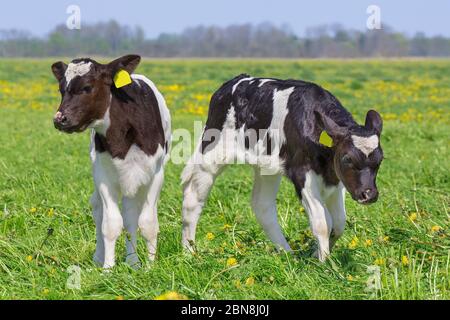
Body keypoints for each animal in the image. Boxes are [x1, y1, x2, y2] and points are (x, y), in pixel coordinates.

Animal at [51, 55, 171, 268]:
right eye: (61, 89)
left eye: (87, 87)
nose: (60, 119)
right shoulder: (103, 176)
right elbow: (111, 223)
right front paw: (108, 268)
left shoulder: (156, 174)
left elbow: (147, 222)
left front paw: (150, 267)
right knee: (101, 211)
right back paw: (102, 258)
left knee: (131, 216)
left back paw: (133, 262)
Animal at [183, 74, 384, 262]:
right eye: (347, 158)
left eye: (380, 159)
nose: (369, 195)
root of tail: (235, 81)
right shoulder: (302, 174)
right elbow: (322, 223)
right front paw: (324, 262)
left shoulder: (337, 179)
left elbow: (339, 222)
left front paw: (316, 254)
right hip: (211, 152)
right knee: (193, 197)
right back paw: (189, 251)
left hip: (266, 166)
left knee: (262, 204)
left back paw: (287, 254)